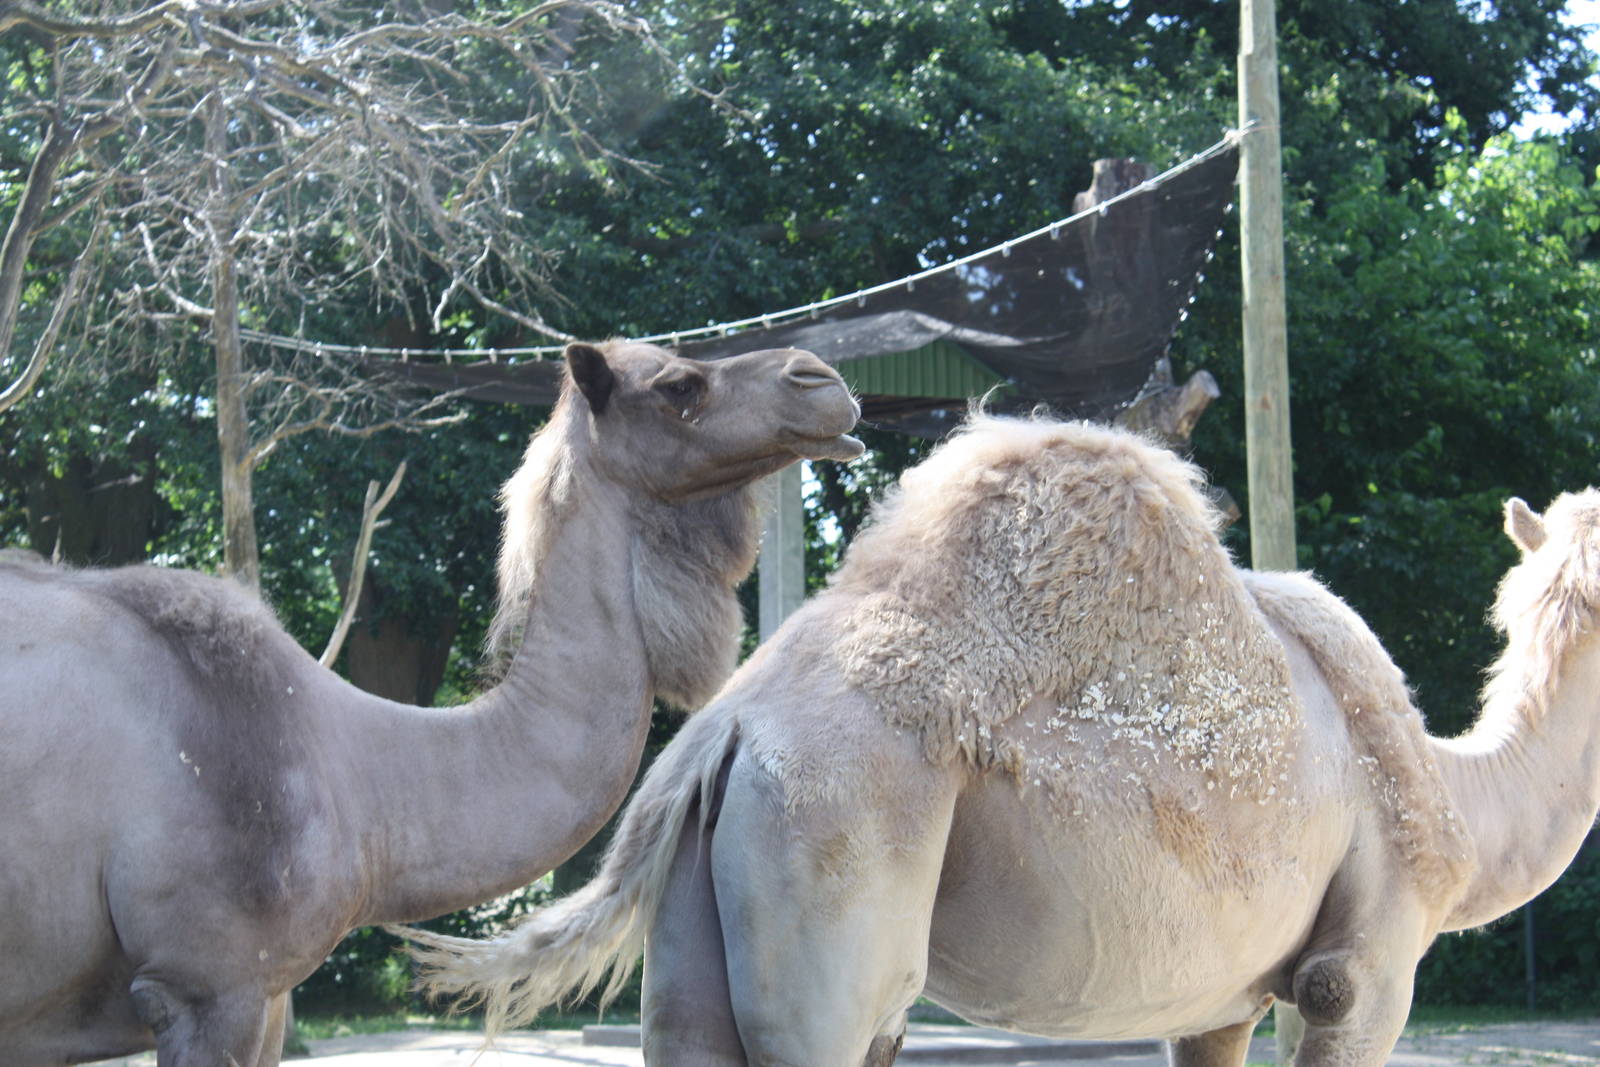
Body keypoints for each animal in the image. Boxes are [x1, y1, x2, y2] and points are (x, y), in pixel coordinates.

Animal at [403, 413, 1600, 1067]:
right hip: (831, 848)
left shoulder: (1218, 1004)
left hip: (704, 905)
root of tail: (721, 733)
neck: (1453, 794)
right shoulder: (1362, 970)